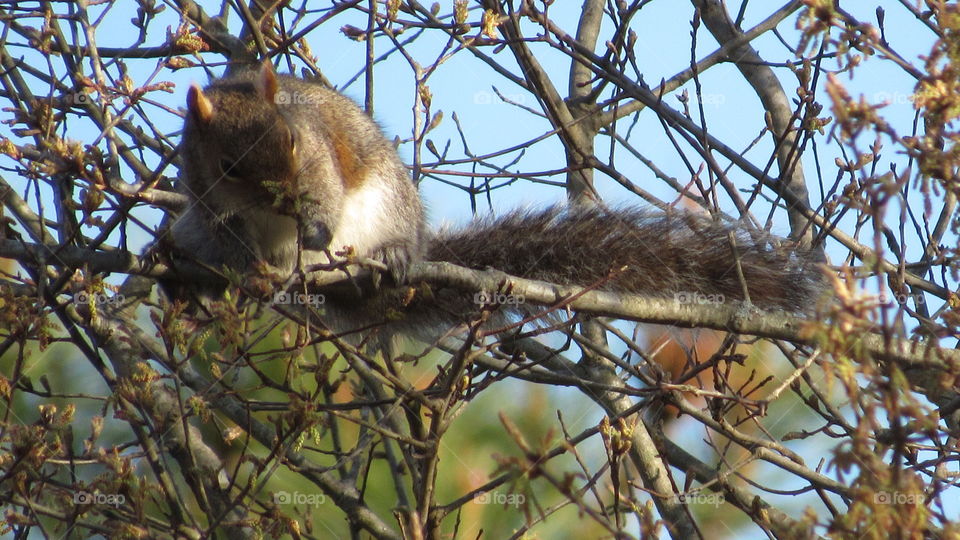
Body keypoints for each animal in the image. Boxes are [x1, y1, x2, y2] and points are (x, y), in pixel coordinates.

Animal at [169, 62, 822, 340]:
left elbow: (327, 188)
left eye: (295, 141)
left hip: (387, 205)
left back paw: (391, 256)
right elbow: (226, 231)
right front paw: (242, 267)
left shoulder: (324, 164)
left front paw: (318, 227)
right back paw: (191, 284)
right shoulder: (204, 195)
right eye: (229, 167)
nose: (298, 217)